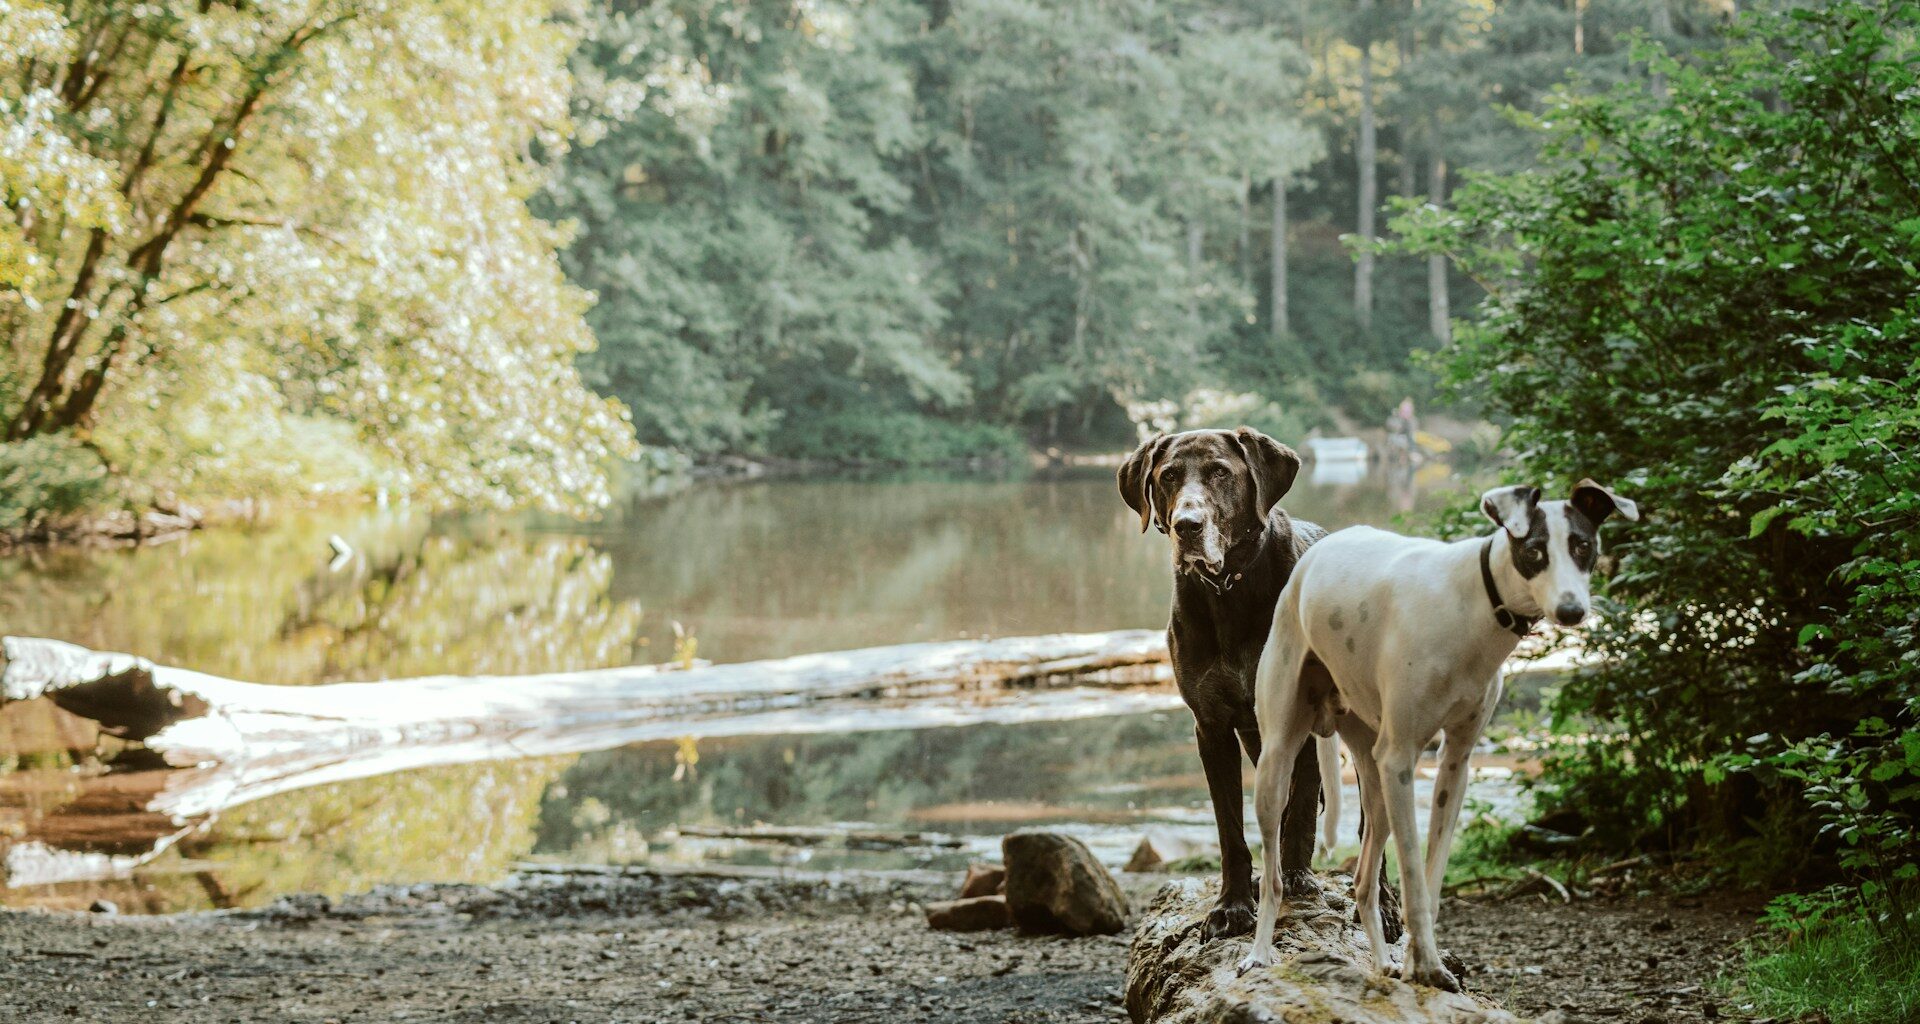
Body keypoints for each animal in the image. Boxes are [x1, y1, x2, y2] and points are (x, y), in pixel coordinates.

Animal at [1236, 482, 1628, 983]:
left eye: (1583, 546)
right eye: (1534, 551)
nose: (1572, 610)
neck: (1473, 606)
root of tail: (1314, 554)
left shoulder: (1454, 763)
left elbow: (1433, 878)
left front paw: (1419, 961)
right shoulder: (1402, 757)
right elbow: (1413, 880)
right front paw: (1425, 965)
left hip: (1376, 784)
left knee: (1363, 881)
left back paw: (1383, 963)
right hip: (1279, 764)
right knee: (1272, 876)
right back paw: (1259, 953)